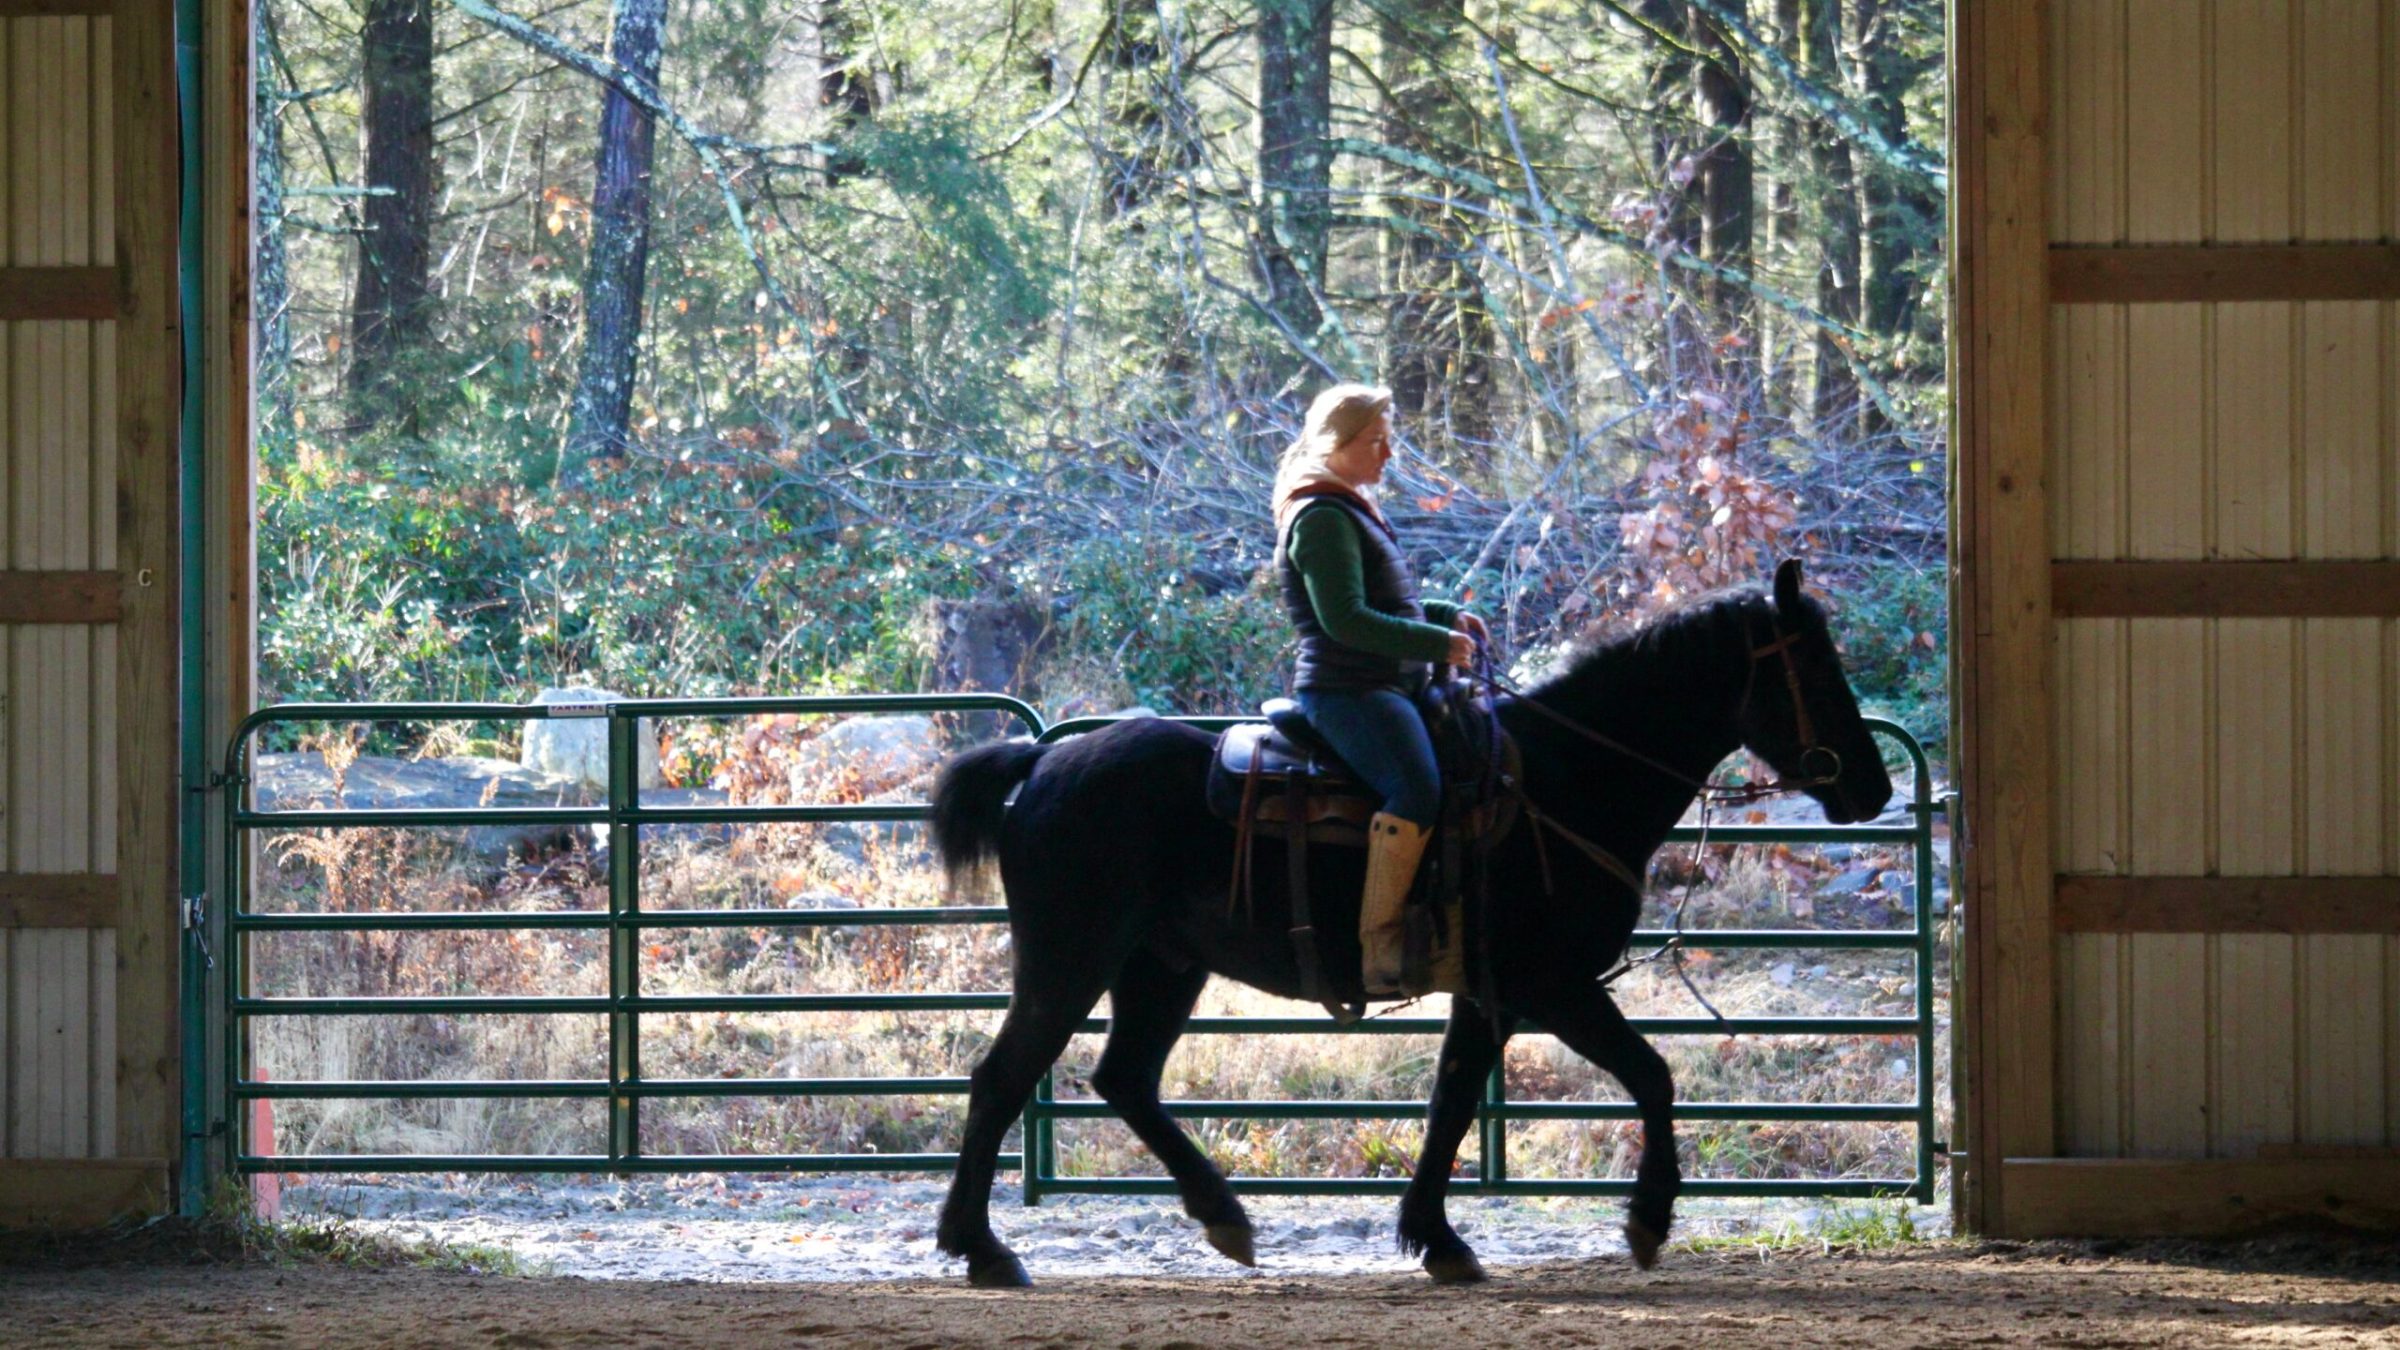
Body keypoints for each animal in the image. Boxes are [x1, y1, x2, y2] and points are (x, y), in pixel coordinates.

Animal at [927, 559, 1894, 1287]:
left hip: (1159, 966)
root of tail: (1042, 759)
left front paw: (1437, 1236)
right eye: (1815, 668)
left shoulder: (1490, 996)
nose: (1874, 787)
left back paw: (1223, 1217)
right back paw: (983, 1250)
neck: (1563, 779)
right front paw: (1649, 1220)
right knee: (1001, 1080)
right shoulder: (1553, 983)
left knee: (1125, 1078)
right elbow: (1651, 1076)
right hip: (1070, 961)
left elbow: (1452, 1101)